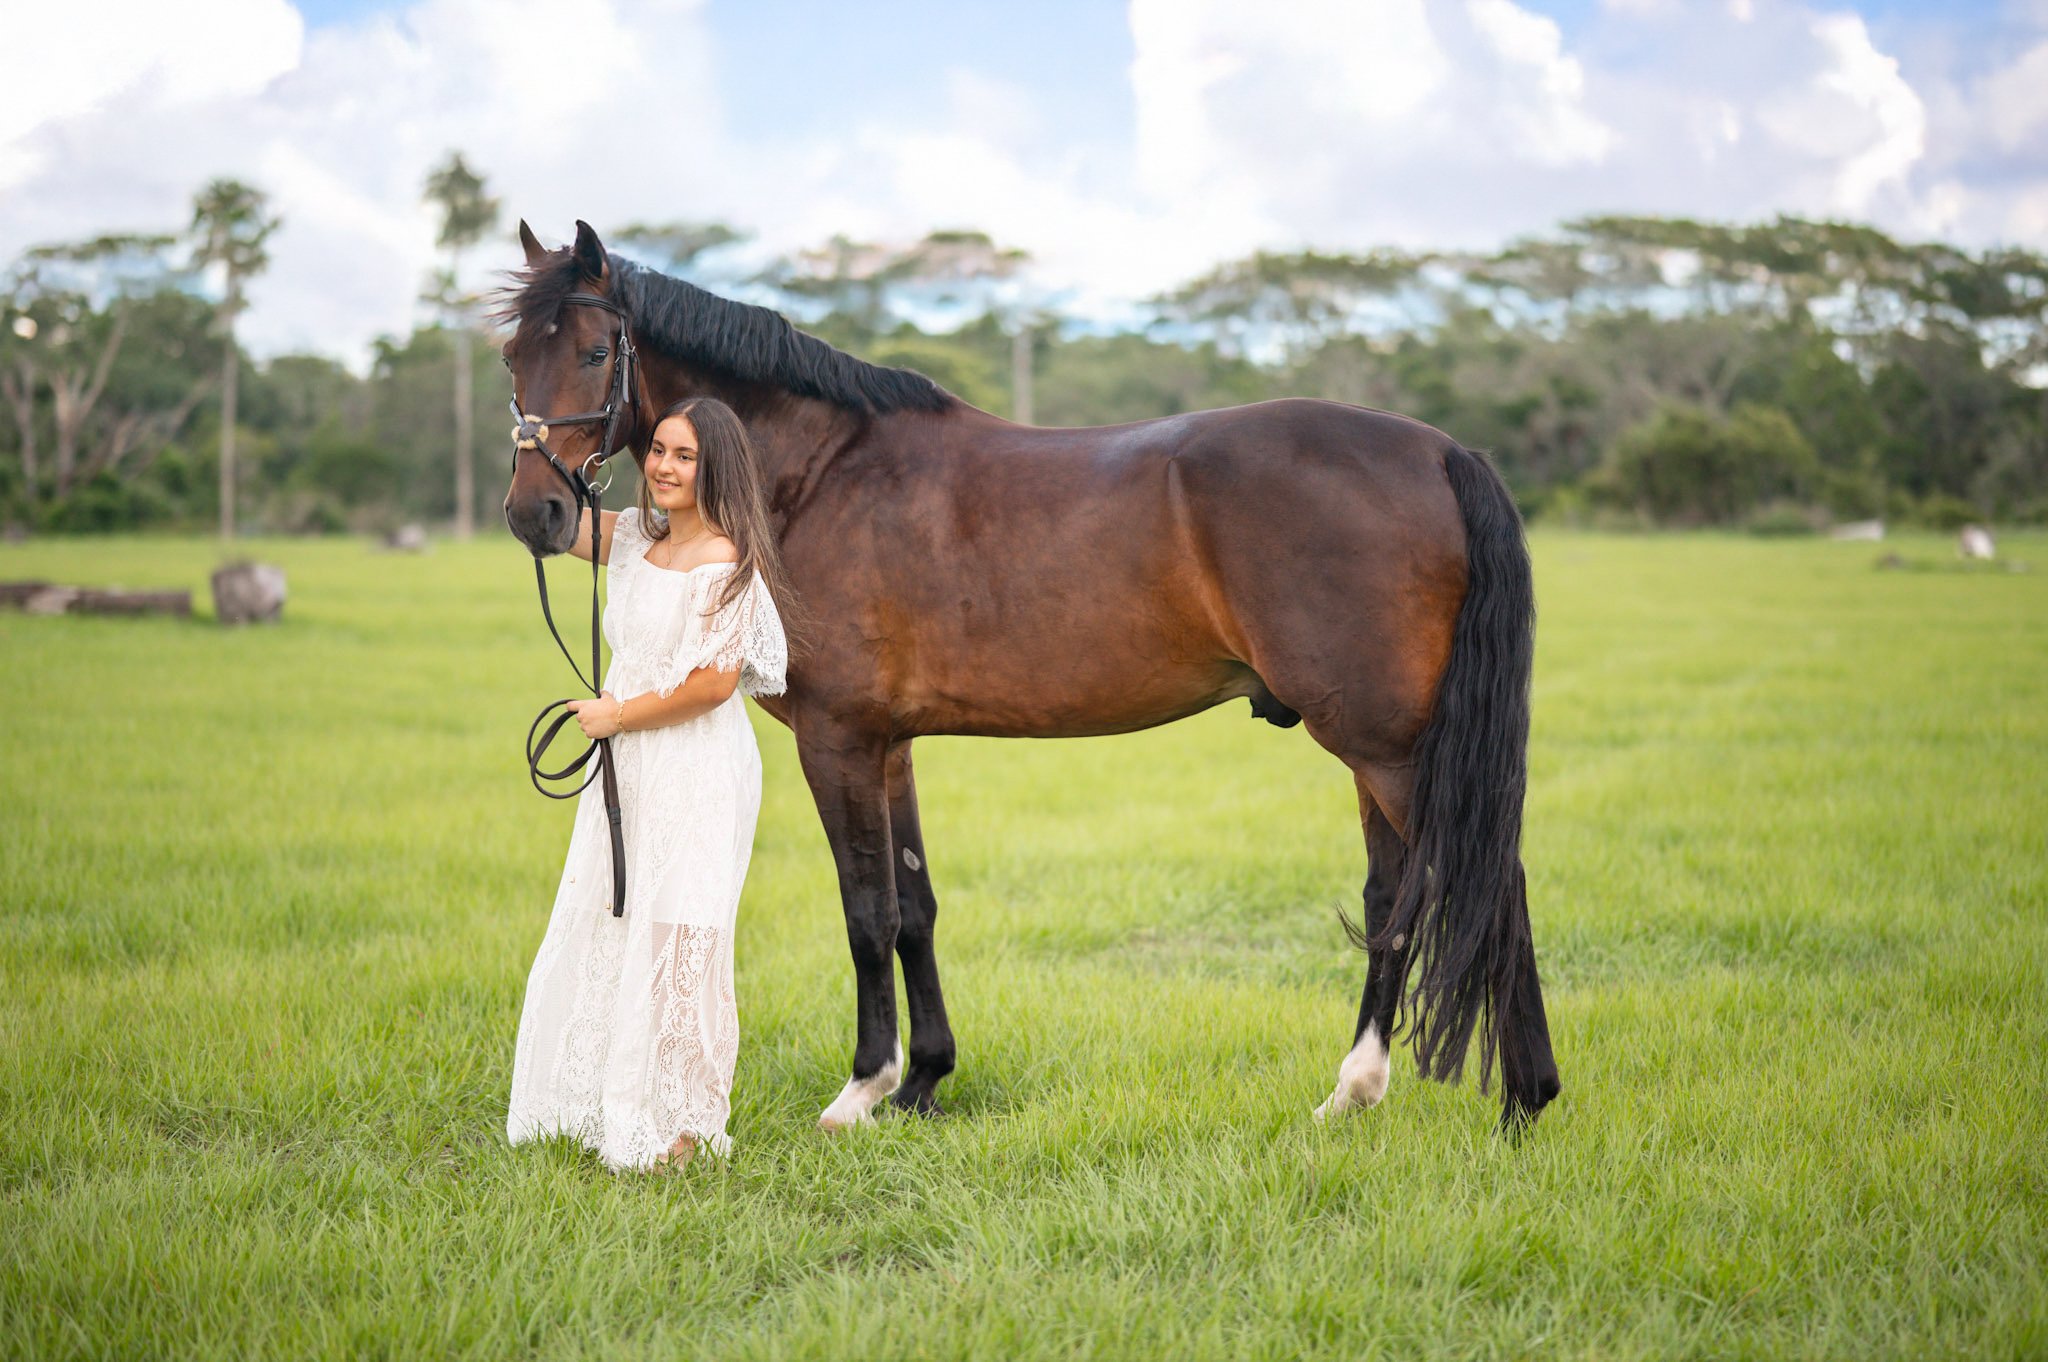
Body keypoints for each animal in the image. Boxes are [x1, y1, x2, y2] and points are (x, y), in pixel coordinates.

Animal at [498, 220, 1560, 1133]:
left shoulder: (839, 738)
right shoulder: (891, 745)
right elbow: (916, 908)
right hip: (1377, 748)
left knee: (1486, 882)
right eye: (512, 359)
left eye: (592, 353)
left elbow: (867, 911)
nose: (536, 514)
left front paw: (861, 1090)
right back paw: (1356, 1090)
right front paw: (924, 1082)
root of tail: (1440, 450)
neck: (822, 474)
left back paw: (1524, 1101)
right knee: (1396, 899)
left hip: (1388, 747)